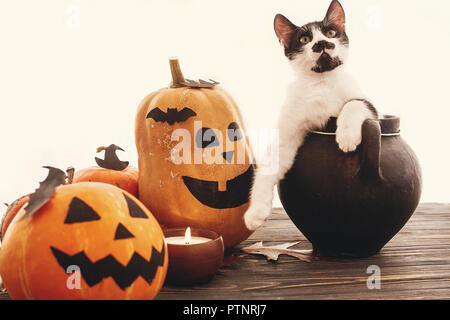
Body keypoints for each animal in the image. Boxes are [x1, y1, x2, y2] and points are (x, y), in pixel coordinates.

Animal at [244, 0, 378, 230]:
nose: (322, 43)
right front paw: (256, 211)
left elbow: (353, 104)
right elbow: (271, 163)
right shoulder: (287, 131)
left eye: (331, 33)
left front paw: (347, 137)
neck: (321, 82)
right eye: (305, 39)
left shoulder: (369, 105)